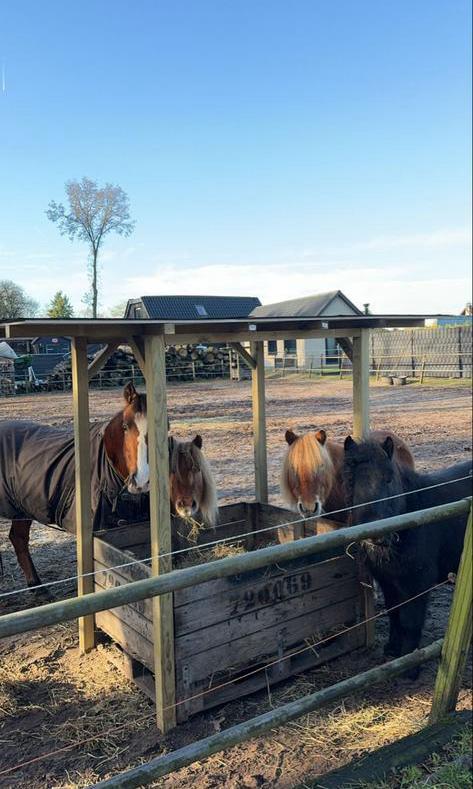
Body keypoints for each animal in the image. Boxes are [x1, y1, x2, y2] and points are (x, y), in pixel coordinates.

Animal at [342, 434, 472, 677]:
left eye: (389, 478)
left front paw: (410, 665)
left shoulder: (417, 584)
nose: (376, 536)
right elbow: (394, 613)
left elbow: (411, 621)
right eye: (351, 480)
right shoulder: (388, 582)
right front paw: (393, 649)